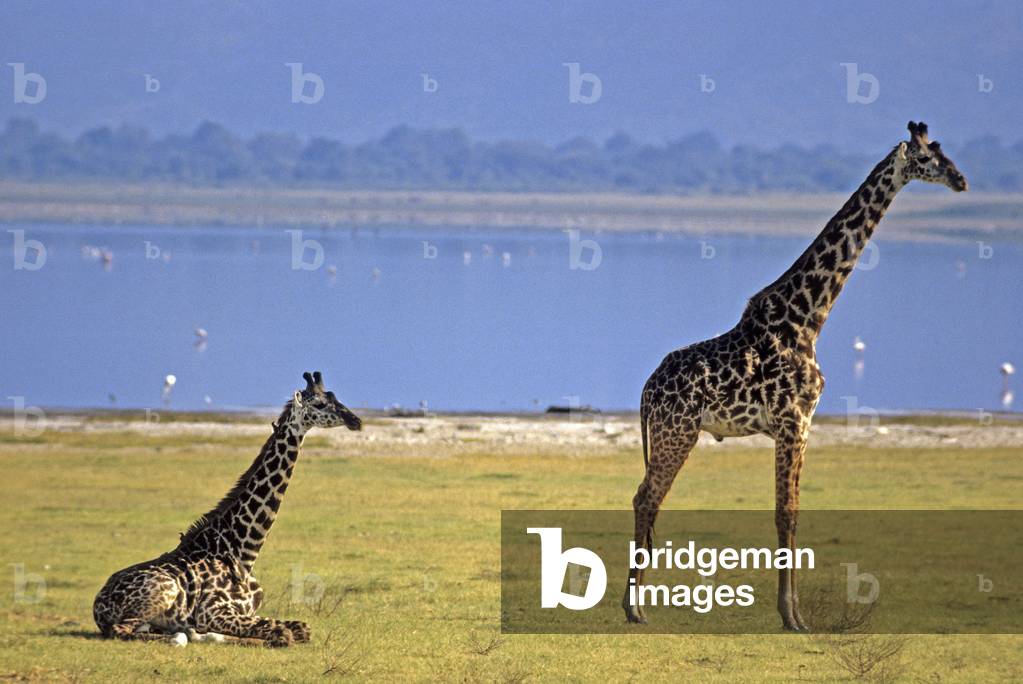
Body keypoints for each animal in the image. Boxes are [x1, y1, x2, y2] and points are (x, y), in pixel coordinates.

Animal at [93, 371, 362, 646]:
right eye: (319, 404)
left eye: (334, 397)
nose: (356, 420)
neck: (242, 552)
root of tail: (97, 604)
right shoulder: (211, 612)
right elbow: (281, 633)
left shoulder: (245, 611)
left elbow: (300, 629)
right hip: (163, 593)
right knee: (125, 631)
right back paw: (180, 636)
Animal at [623, 122, 968, 629]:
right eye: (928, 159)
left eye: (944, 151)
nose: (961, 180)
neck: (808, 317)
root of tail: (647, 388)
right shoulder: (794, 422)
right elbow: (786, 514)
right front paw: (791, 617)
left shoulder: (800, 426)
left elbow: (794, 512)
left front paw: (795, 614)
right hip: (677, 431)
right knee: (646, 498)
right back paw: (635, 609)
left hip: (672, 433)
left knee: (648, 499)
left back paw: (637, 605)